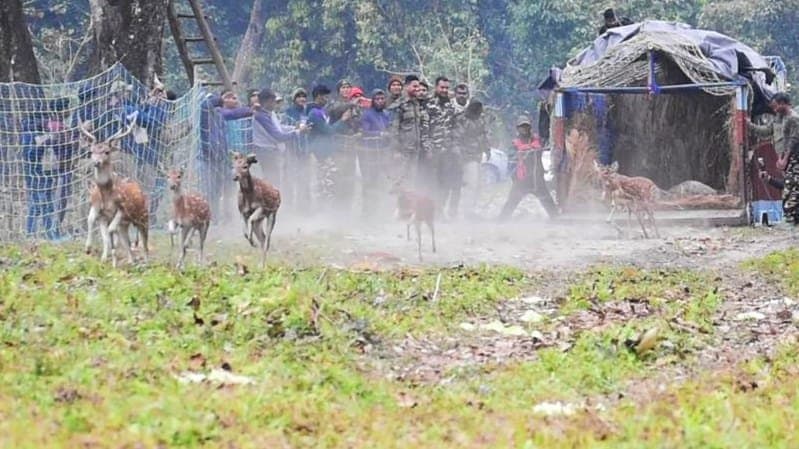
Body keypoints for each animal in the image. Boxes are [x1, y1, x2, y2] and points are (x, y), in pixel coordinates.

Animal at [80, 115, 150, 267]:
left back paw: (145, 261)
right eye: (91, 151)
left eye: (106, 151)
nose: (96, 162)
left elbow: (110, 230)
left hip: (144, 216)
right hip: (126, 223)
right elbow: (92, 222)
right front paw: (93, 252)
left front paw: (112, 259)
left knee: (144, 239)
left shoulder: (122, 209)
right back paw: (130, 261)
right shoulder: (98, 210)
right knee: (126, 240)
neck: (107, 196)